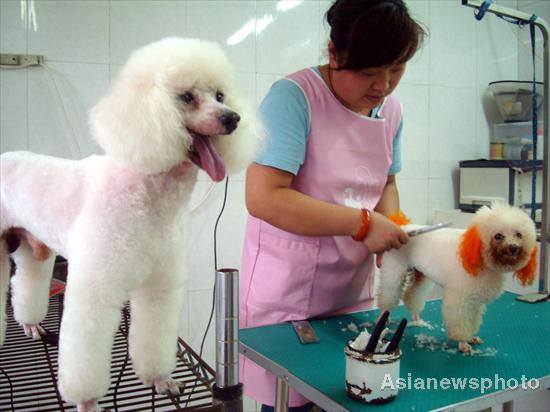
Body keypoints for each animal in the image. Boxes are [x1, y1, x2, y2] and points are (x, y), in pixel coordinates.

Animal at [0, 37, 266, 410]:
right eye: (186, 97)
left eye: (220, 95)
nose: (233, 118)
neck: (147, 194)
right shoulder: (95, 289)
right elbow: (85, 355)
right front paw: (87, 401)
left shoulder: (159, 287)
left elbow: (154, 337)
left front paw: (160, 380)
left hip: (32, 247)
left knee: (25, 282)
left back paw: (30, 325)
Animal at [380, 204, 540, 352]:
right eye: (498, 236)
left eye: (519, 235)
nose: (513, 247)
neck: (477, 256)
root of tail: (402, 226)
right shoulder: (460, 298)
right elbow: (460, 320)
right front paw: (463, 343)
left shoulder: (475, 300)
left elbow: (472, 320)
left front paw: (471, 337)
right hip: (393, 271)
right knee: (387, 295)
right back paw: (383, 317)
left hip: (421, 274)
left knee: (412, 295)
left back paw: (416, 318)